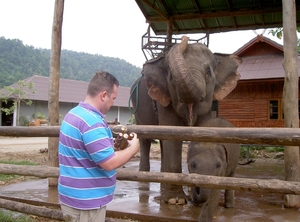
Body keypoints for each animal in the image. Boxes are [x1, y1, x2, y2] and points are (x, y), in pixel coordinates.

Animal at [130, 35, 243, 204]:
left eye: (208, 72)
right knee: (145, 139)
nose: (185, 37)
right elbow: (172, 135)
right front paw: (175, 200)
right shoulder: (164, 99)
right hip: (138, 112)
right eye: (171, 77)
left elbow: (203, 128)